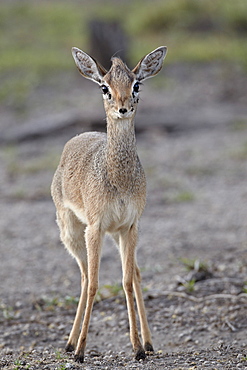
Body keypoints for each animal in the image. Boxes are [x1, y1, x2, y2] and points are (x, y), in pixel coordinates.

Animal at [51, 45, 167, 362]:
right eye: (105, 87)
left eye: (136, 84)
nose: (123, 107)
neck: (119, 179)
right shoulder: (95, 228)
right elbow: (94, 283)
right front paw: (81, 352)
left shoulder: (130, 226)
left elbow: (127, 280)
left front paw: (138, 348)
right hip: (72, 232)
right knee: (83, 277)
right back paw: (70, 344)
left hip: (116, 235)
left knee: (134, 273)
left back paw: (149, 343)